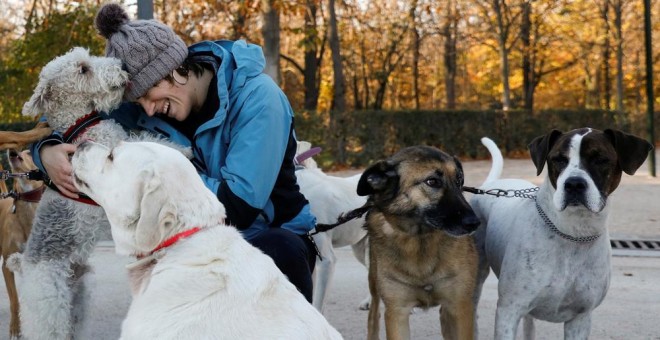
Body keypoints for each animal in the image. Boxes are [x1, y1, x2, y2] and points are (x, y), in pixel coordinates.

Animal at [8, 46, 188, 338]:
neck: (80, 124)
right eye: (83, 69)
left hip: (79, 300)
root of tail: (23, 263)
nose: (121, 67)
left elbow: (143, 139)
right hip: (49, 308)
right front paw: (181, 151)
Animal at [356, 146, 480, 340]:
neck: (420, 240)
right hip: (375, 288)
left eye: (459, 180)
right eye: (432, 181)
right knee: (373, 317)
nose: (474, 223)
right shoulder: (396, 312)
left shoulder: (459, 307)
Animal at [472, 128, 652, 340]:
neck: (573, 234)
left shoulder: (580, 318)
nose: (574, 184)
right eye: (558, 159)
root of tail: (492, 184)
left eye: (600, 159)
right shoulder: (509, 311)